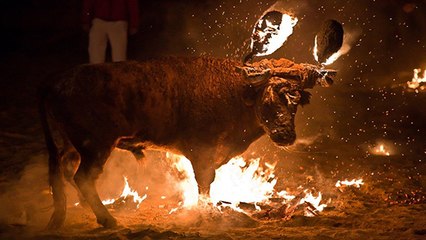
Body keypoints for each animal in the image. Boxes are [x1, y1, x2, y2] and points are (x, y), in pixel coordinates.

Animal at [38, 56, 334, 229]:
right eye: (269, 100)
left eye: (296, 102)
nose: (286, 135)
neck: (234, 92)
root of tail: (56, 82)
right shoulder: (201, 152)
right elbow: (205, 182)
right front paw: (206, 213)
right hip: (96, 147)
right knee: (82, 177)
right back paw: (107, 219)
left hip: (67, 147)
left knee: (62, 175)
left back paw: (63, 215)